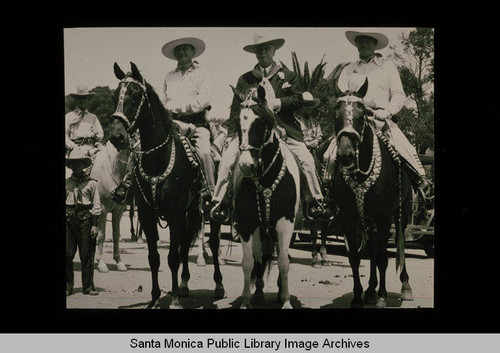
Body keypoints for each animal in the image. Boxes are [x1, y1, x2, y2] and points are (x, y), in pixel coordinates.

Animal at [112, 62, 226, 306]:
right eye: (115, 95)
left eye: (135, 95)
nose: (116, 136)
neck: (159, 158)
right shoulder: (147, 215)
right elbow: (154, 257)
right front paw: (155, 298)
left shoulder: (174, 214)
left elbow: (172, 257)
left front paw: (173, 300)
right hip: (190, 211)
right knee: (185, 244)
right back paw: (183, 285)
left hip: (209, 210)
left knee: (212, 243)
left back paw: (218, 286)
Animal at [231, 85, 298, 308]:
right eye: (238, 124)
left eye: (260, 123)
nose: (245, 165)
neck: (267, 180)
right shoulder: (246, 224)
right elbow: (248, 262)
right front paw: (246, 301)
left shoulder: (285, 224)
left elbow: (284, 262)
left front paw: (286, 300)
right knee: (260, 256)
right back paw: (259, 291)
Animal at [326, 78, 412, 306]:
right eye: (335, 116)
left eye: (361, 115)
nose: (345, 155)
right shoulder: (349, 218)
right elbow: (355, 258)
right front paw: (358, 296)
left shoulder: (384, 218)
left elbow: (383, 257)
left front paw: (382, 297)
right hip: (368, 219)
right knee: (372, 248)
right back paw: (371, 289)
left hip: (401, 213)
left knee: (399, 247)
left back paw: (404, 286)